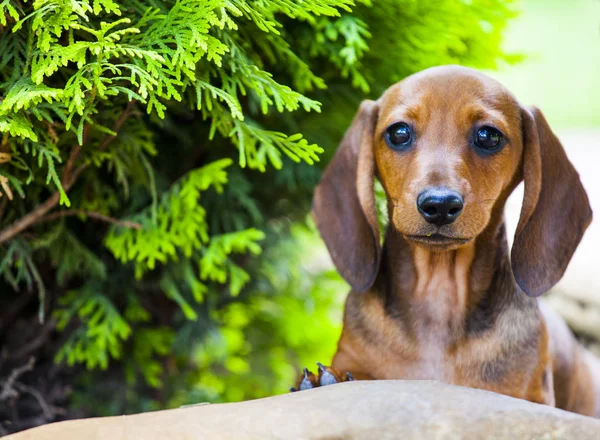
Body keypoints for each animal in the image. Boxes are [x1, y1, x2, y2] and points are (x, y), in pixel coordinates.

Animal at [294, 64, 600, 416]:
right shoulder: (353, 357)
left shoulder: (529, 397)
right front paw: (322, 380)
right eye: (398, 133)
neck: (439, 297)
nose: (439, 205)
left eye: (488, 136)